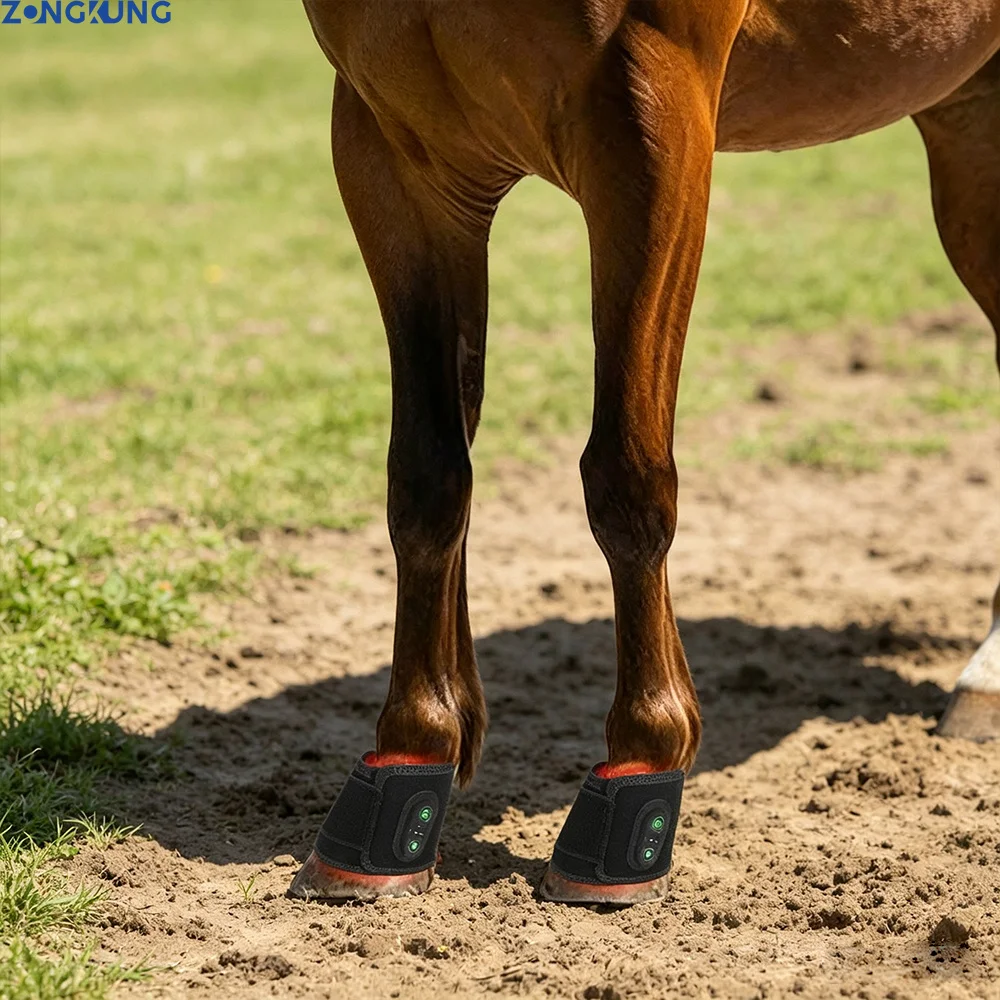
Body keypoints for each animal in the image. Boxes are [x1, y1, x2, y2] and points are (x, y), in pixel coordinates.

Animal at [289, 0, 1000, 905]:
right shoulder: (392, 149)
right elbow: (429, 472)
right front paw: (414, 753)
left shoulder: (649, 122)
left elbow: (624, 474)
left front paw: (643, 761)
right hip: (968, 119)